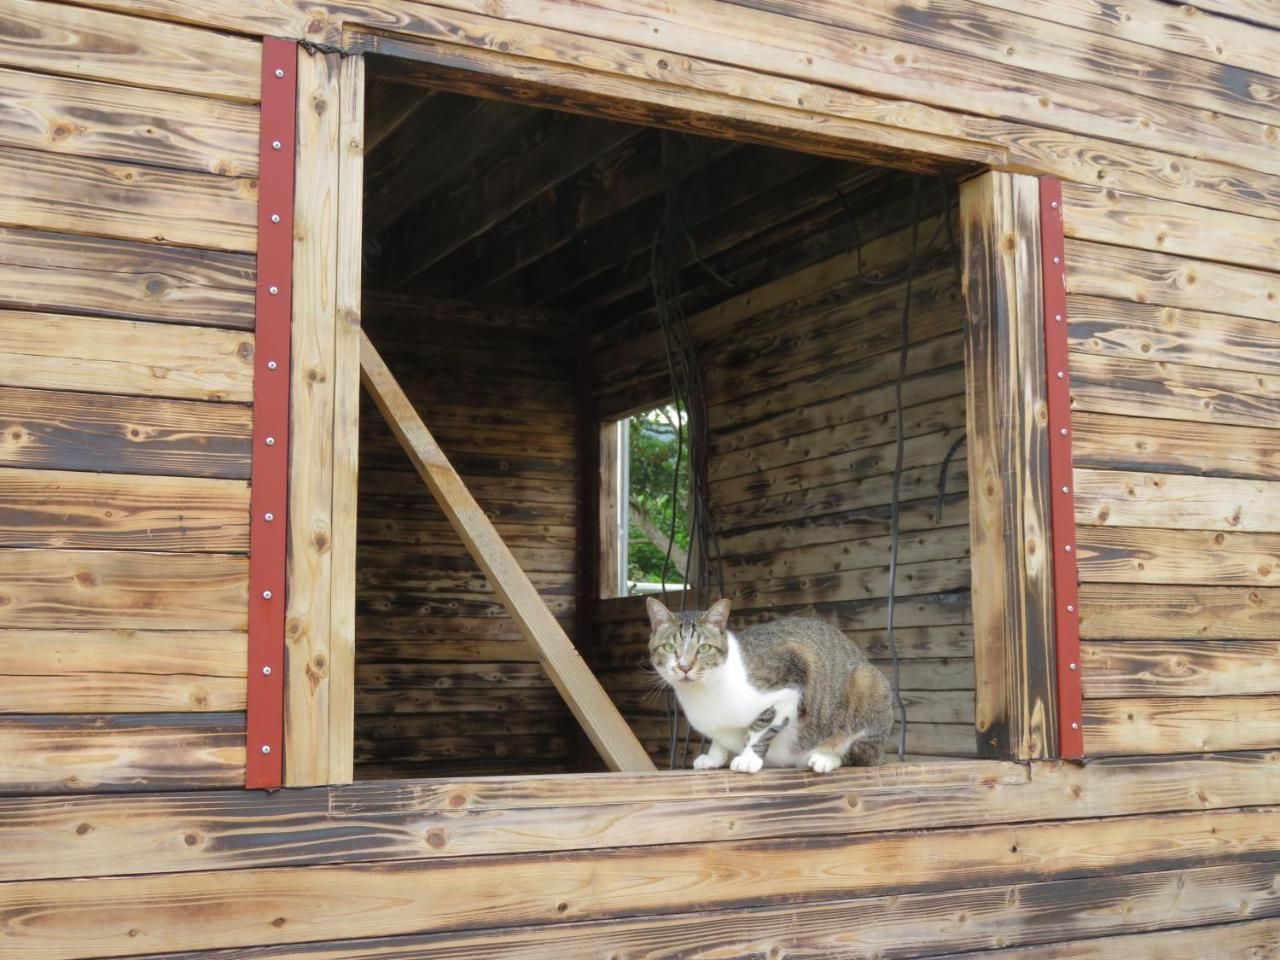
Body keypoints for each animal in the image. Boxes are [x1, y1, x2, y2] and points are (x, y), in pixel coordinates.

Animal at [650, 599, 890, 778]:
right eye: (669, 647)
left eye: (704, 648)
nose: (684, 667)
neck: (706, 690)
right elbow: (719, 741)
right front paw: (713, 758)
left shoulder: (793, 677)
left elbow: (760, 728)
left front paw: (748, 758)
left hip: (869, 684)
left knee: (861, 755)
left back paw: (826, 756)